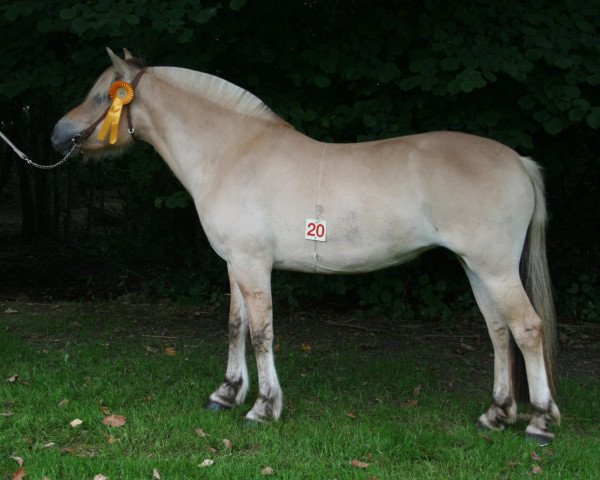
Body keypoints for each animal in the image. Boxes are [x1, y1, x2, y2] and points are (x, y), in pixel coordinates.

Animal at [54, 48, 560, 442]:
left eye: (102, 95)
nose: (59, 134)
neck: (232, 153)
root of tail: (518, 161)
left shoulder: (253, 265)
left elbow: (262, 333)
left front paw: (263, 408)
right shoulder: (235, 264)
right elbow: (236, 326)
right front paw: (226, 394)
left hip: (494, 268)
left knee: (527, 329)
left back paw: (540, 423)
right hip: (476, 268)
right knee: (499, 332)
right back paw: (496, 414)